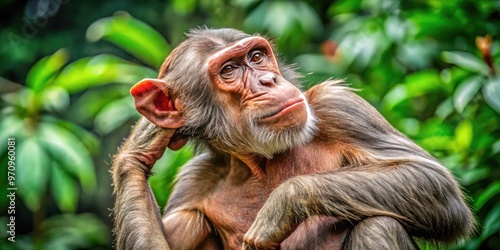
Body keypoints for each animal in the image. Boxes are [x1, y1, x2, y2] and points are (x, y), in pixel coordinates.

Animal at [111, 28, 474, 249]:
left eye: (256, 57)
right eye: (229, 70)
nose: (268, 80)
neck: (258, 160)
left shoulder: (339, 107)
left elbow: (430, 178)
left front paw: (282, 204)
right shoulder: (193, 182)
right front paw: (143, 142)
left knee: (380, 225)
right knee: (188, 222)